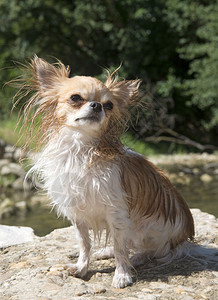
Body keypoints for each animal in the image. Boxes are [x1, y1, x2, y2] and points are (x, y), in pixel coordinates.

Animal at [17, 56, 194, 288]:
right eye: (75, 98)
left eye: (109, 105)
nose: (97, 105)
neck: (80, 149)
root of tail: (183, 237)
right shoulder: (78, 215)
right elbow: (85, 243)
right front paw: (82, 267)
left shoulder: (116, 213)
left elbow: (120, 247)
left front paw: (122, 275)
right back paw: (105, 252)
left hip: (148, 229)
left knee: (150, 251)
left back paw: (134, 259)